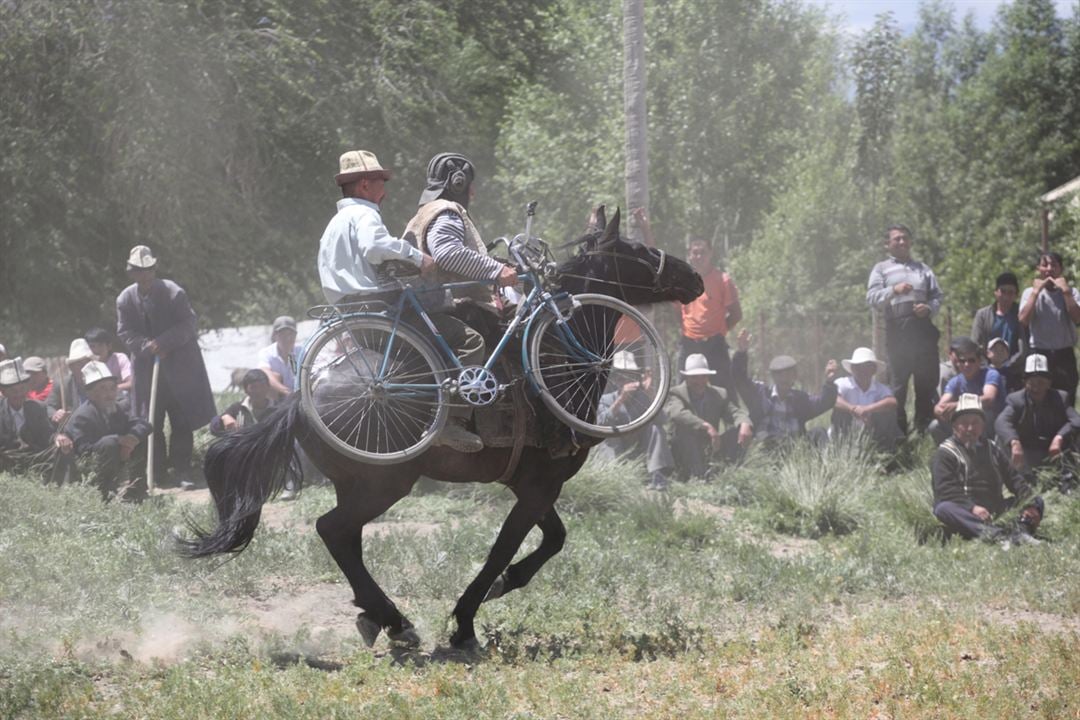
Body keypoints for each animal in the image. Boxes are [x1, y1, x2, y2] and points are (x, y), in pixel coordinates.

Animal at [181, 207, 704, 647]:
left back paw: (382, 617)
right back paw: (394, 620)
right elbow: (503, 550)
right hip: (384, 483)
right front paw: (467, 621)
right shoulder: (539, 485)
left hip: (358, 484)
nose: (695, 277)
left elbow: (552, 540)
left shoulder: (534, 483)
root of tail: (299, 397)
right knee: (333, 529)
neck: (555, 348)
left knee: (345, 537)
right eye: (636, 250)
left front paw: (502, 586)